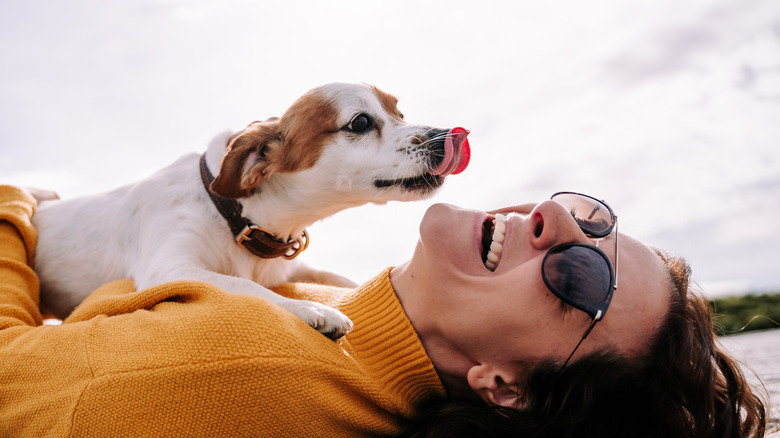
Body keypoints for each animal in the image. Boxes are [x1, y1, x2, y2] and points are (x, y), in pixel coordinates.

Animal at [32, 82, 470, 338]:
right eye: (360, 122)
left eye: (400, 113)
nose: (443, 135)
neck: (236, 216)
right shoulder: (169, 269)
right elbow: (246, 288)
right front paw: (310, 308)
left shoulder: (291, 268)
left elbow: (339, 277)